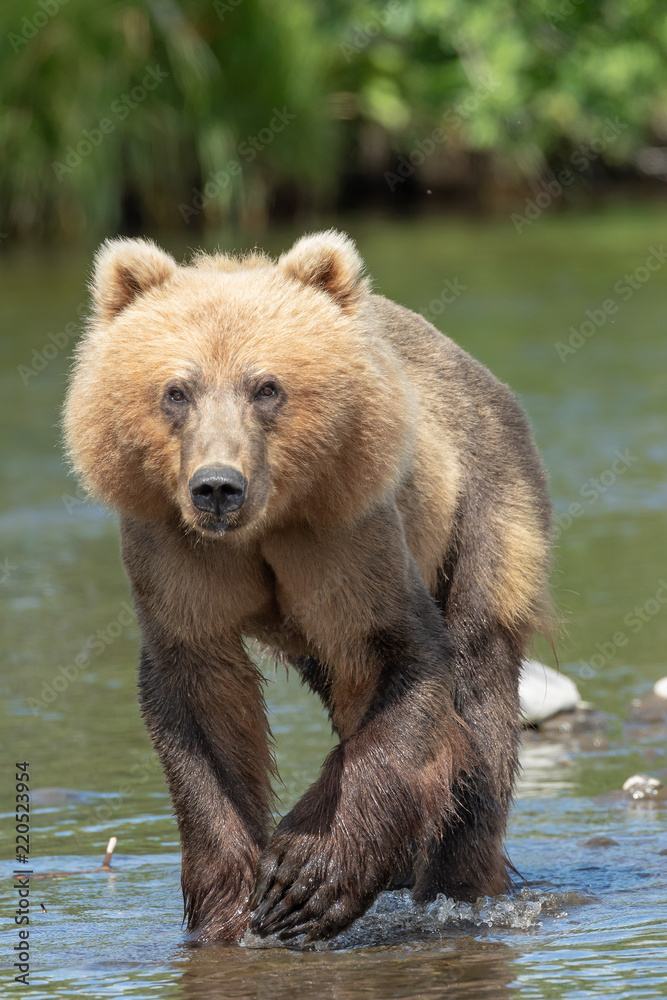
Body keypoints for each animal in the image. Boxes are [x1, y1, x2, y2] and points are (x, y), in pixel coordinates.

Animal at [63, 230, 552, 944]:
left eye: (266, 387)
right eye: (177, 390)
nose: (217, 486)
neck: (264, 525)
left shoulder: (346, 538)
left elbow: (401, 661)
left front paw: (304, 877)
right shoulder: (176, 556)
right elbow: (199, 702)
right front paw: (229, 906)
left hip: (483, 501)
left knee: (478, 679)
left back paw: (459, 879)